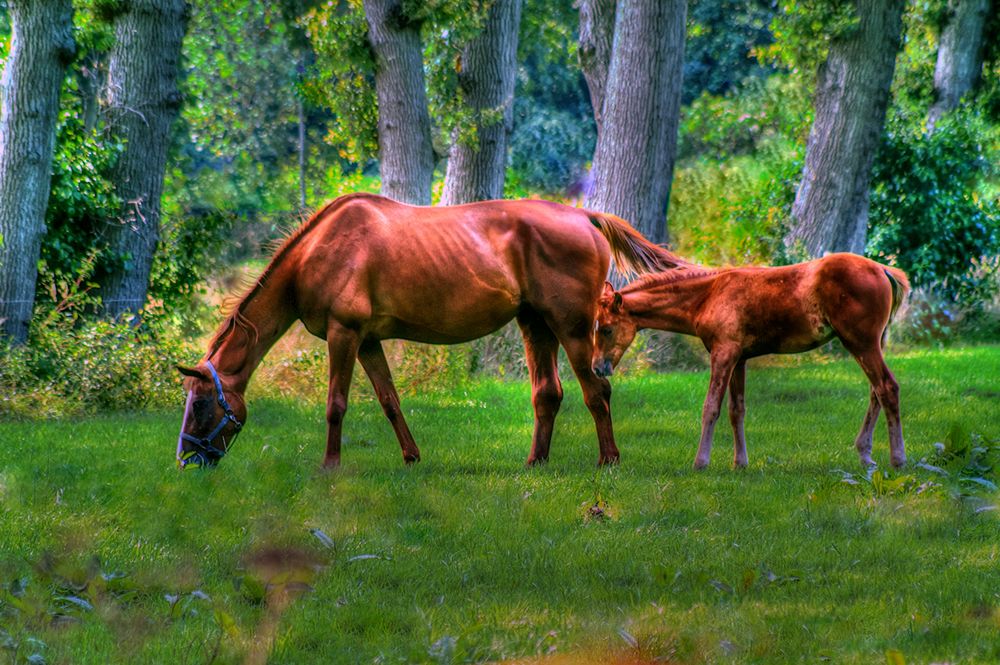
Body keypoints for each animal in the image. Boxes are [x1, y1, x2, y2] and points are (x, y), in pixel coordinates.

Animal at [592, 253, 916, 466]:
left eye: (606, 329)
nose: (597, 367)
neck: (708, 295)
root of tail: (883, 269)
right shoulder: (740, 359)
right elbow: (737, 410)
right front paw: (740, 463)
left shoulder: (723, 353)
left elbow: (711, 407)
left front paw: (701, 462)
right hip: (871, 343)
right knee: (875, 391)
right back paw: (865, 454)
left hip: (861, 342)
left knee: (887, 387)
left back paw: (897, 459)